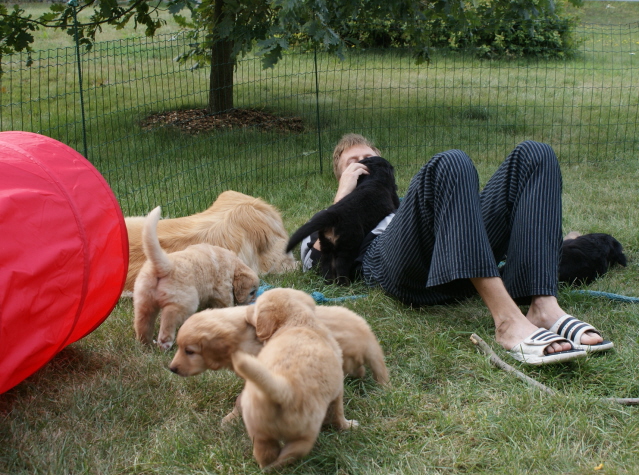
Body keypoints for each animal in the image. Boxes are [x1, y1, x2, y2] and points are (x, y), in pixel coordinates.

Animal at [134, 206, 258, 352]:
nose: (251, 303)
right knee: (169, 318)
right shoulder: (223, 290)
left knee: (143, 322)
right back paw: (165, 344)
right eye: (252, 292)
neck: (232, 263)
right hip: (185, 301)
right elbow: (225, 303)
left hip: (144, 301)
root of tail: (165, 266)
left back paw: (145, 343)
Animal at [231, 288, 358, 470]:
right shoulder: (338, 390)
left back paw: (264, 467)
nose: (246, 308)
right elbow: (338, 414)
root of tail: (283, 390)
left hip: (259, 431)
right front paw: (349, 426)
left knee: (264, 454)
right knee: (289, 454)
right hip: (304, 434)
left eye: (255, 308)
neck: (297, 321)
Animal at [286, 156, 398, 284]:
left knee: (327, 265)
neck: (374, 178)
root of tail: (334, 215)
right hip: (348, 245)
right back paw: (344, 284)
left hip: (326, 245)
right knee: (341, 266)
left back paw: (329, 283)